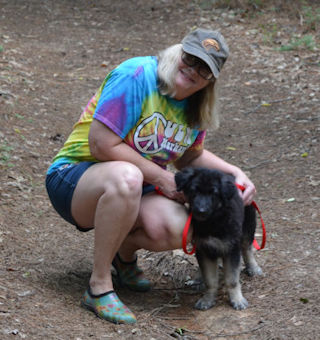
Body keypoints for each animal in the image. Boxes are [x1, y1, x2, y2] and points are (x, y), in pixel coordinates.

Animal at [175, 167, 262, 310]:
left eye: (214, 193)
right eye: (194, 190)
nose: (201, 211)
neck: (212, 221)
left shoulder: (231, 248)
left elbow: (232, 280)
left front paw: (237, 300)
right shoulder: (204, 248)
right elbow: (210, 279)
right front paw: (207, 299)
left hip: (248, 226)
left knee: (247, 248)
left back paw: (253, 267)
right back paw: (199, 278)